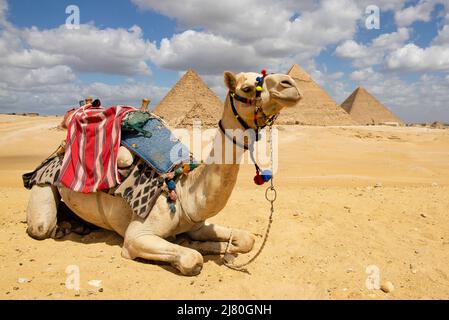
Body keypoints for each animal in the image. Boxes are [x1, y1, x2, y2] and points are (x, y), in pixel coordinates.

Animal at [24, 71, 300, 276]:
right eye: (247, 88)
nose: (290, 84)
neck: (183, 189)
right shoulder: (136, 237)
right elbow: (192, 259)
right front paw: (192, 247)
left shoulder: (197, 222)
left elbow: (246, 240)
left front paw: (212, 245)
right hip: (42, 190)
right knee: (41, 226)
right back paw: (62, 228)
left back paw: (77, 226)